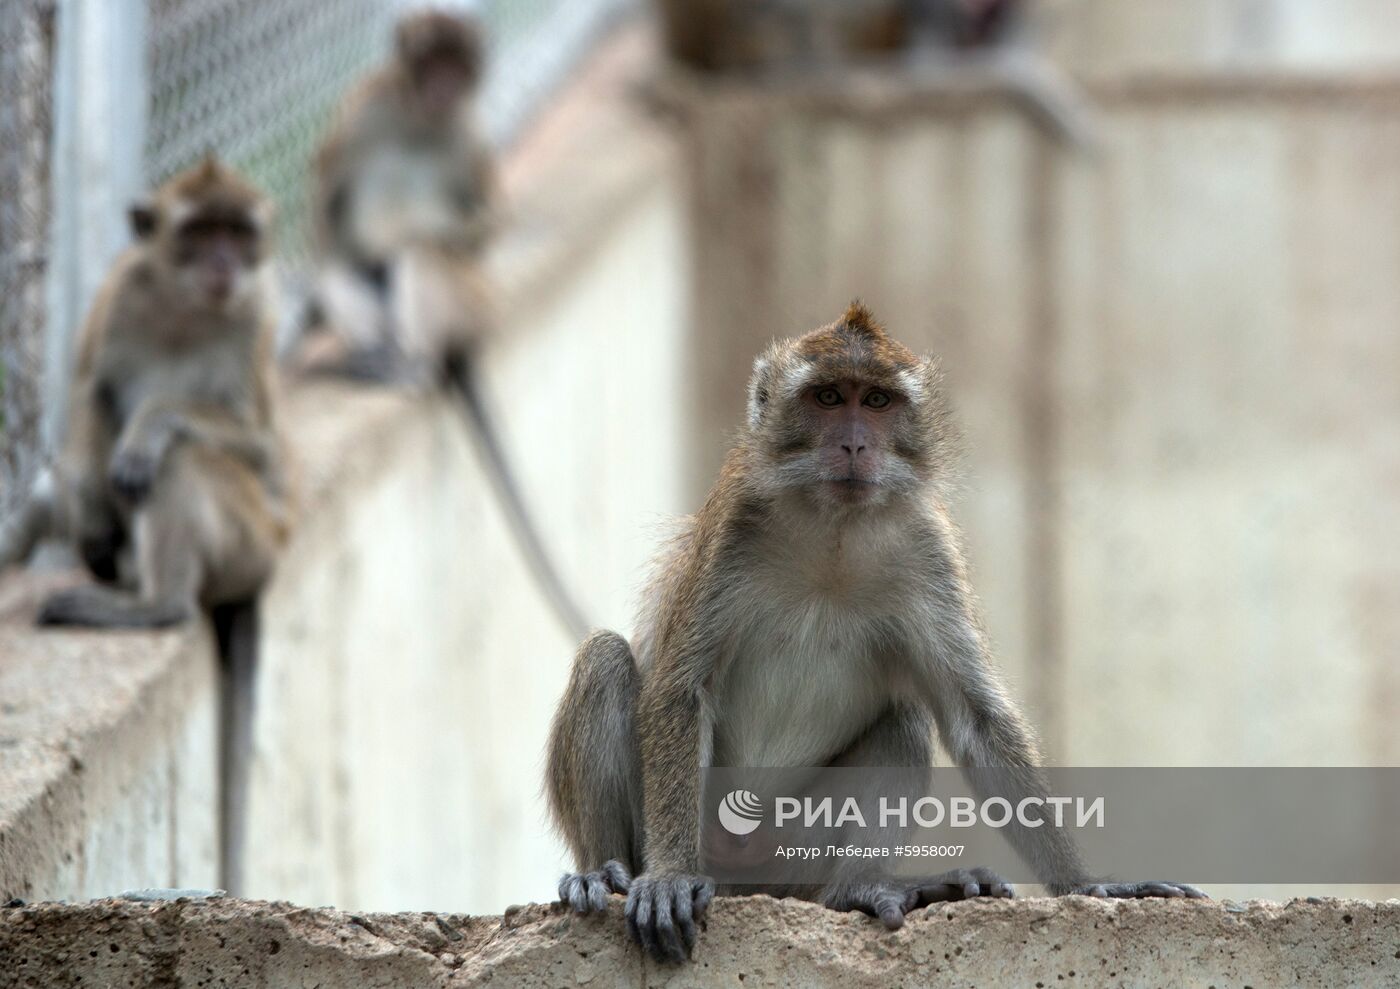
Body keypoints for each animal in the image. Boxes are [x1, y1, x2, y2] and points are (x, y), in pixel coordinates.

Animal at [0, 158, 291, 627]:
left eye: (236, 232)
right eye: (201, 231)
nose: (223, 261)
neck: (184, 307)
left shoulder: (257, 313)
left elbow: (262, 447)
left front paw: (151, 422)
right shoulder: (117, 296)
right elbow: (92, 392)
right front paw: (91, 514)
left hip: (253, 548)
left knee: (179, 456)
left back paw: (159, 606)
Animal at [306, 7, 498, 381]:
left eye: (456, 65)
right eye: (430, 62)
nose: (443, 86)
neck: (417, 120)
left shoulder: (472, 133)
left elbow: (480, 233)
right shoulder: (365, 103)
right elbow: (325, 200)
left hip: (475, 303)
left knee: (420, 250)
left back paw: (415, 368)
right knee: (337, 266)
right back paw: (377, 356)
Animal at [540, 303, 1198, 958]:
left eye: (878, 401)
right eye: (829, 397)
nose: (855, 442)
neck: (835, 528)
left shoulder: (929, 549)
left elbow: (976, 722)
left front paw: (1087, 886)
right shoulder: (732, 527)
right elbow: (681, 690)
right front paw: (670, 877)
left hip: (790, 859)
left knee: (903, 721)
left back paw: (857, 889)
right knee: (605, 660)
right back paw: (605, 873)